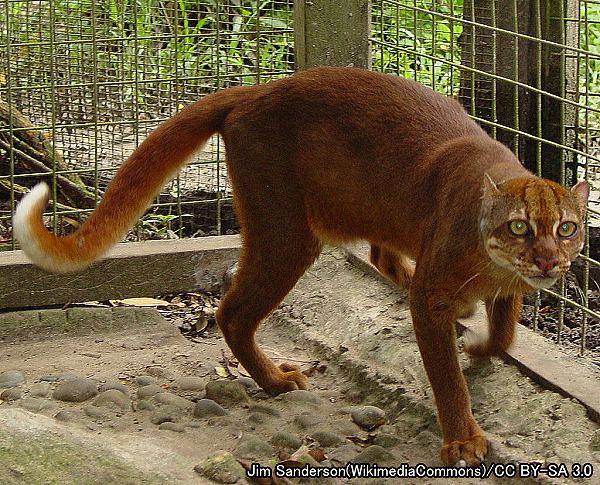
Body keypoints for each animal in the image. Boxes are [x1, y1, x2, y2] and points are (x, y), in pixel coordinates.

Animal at [11, 67, 588, 466]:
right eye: (519, 227)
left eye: (567, 228)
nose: (548, 259)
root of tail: (258, 90)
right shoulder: (433, 296)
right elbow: (446, 375)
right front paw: (463, 439)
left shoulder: (506, 284)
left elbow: (507, 329)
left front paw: (482, 344)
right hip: (287, 231)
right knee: (232, 311)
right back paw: (274, 381)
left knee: (377, 255)